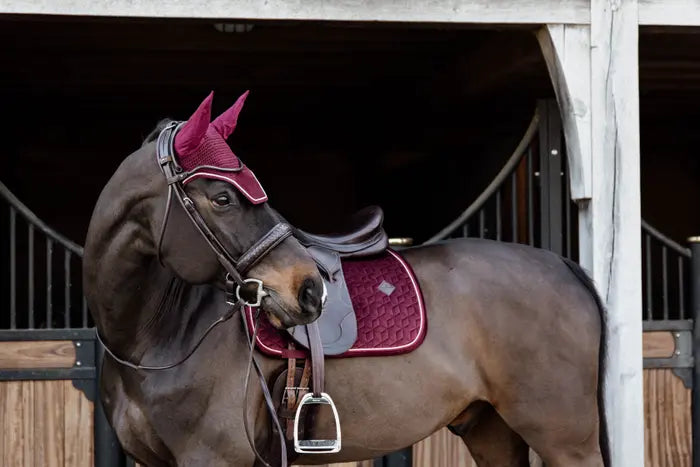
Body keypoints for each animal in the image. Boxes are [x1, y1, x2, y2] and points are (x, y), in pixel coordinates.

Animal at [80, 91, 608, 467]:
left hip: (565, 441)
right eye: (223, 198)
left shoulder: (212, 458)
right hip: (492, 431)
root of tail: (563, 265)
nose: (309, 288)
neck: (156, 337)